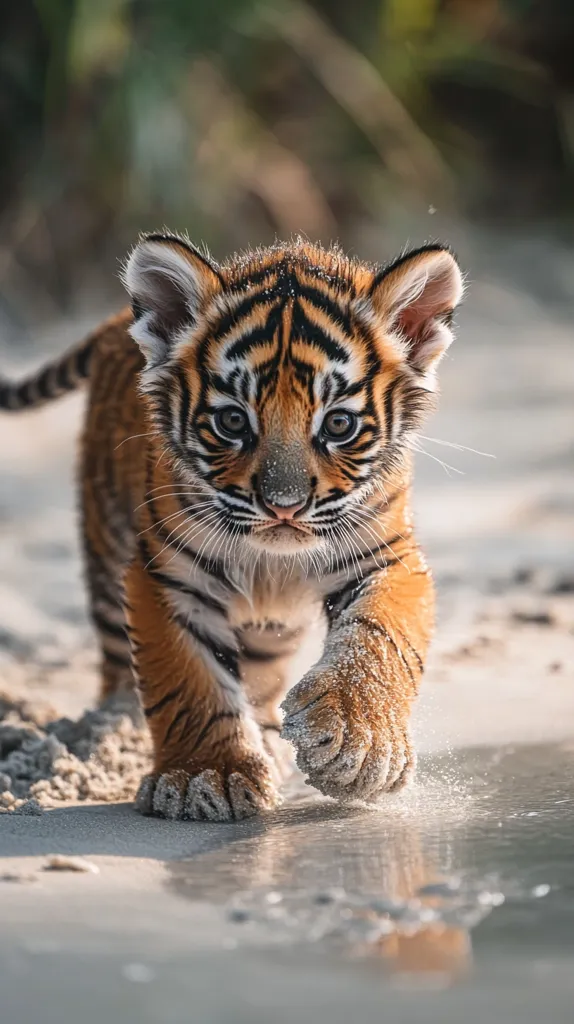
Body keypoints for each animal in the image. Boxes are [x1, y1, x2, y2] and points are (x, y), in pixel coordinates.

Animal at [0, 233, 463, 821]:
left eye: (338, 424)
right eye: (233, 422)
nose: (284, 506)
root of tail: (116, 319)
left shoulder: (387, 556)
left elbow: (380, 637)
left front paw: (359, 746)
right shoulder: (168, 576)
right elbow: (188, 678)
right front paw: (206, 776)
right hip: (105, 553)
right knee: (116, 666)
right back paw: (114, 733)